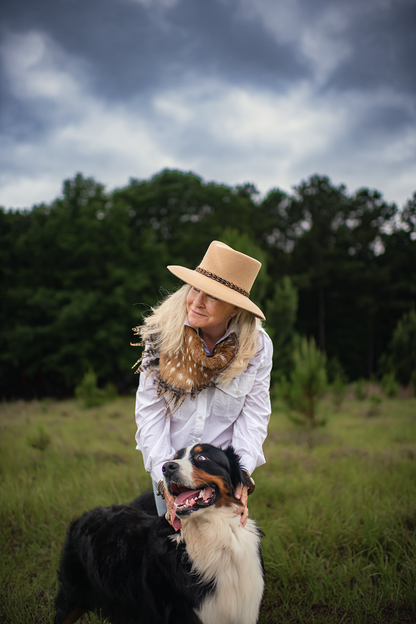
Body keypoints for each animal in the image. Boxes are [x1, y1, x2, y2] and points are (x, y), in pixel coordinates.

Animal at [54, 444, 264, 624]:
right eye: (175, 457)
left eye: (202, 457)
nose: (167, 467)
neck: (213, 532)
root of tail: (87, 514)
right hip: (72, 597)